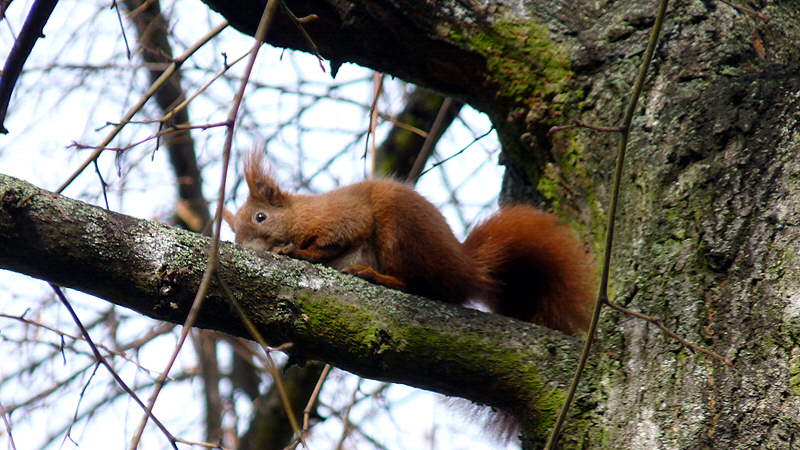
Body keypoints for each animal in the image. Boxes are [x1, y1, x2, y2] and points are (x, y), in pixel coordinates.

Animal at [225, 151, 592, 334]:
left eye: (260, 217)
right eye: (235, 234)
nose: (247, 249)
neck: (301, 213)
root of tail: (465, 268)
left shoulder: (342, 216)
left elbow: (337, 238)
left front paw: (296, 251)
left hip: (400, 234)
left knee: (418, 285)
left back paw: (376, 276)